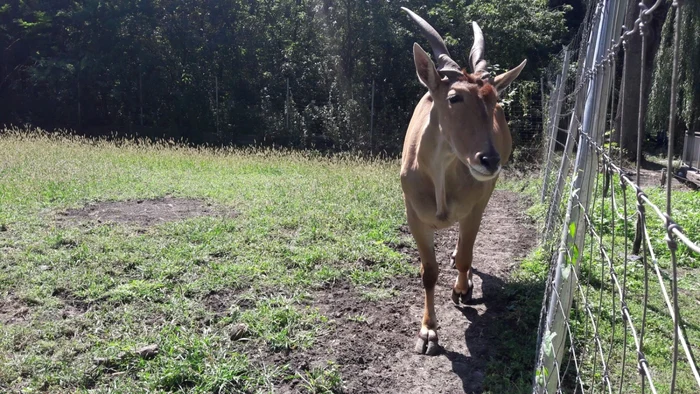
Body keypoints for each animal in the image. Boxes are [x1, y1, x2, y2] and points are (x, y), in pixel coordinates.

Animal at [400, 7, 524, 356]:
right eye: (454, 97)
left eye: (494, 100)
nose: (489, 160)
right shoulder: (414, 216)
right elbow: (428, 272)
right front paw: (428, 333)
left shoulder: (474, 208)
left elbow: (467, 253)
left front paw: (460, 290)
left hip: (484, 198)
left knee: (467, 249)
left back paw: (464, 280)